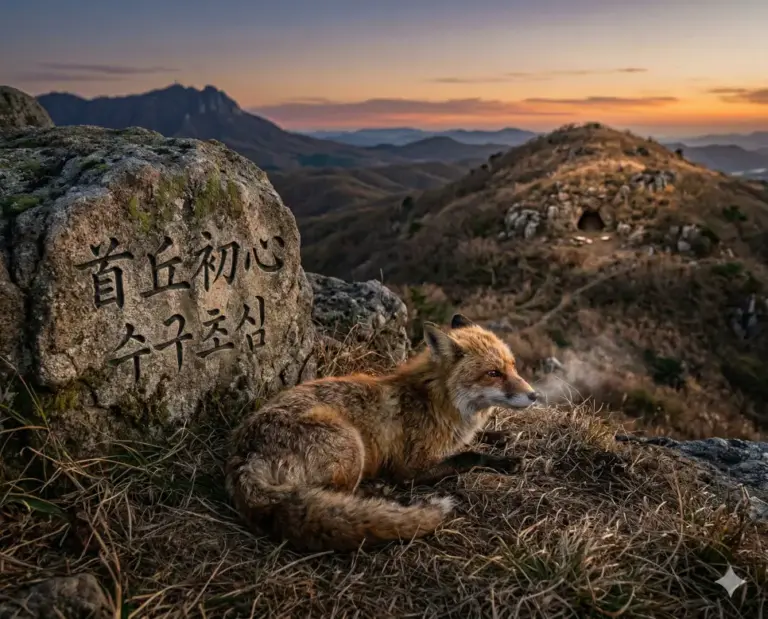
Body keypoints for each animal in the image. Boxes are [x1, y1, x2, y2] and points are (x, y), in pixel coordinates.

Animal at [225, 313, 538, 552]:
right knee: (335, 495)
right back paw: (380, 495)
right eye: (493, 374)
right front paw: (504, 461)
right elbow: (467, 457)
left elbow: (473, 441)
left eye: (512, 366)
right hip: (352, 446)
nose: (534, 395)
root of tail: (244, 457)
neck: (436, 401)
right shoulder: (410, 468)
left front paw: (499, 437)